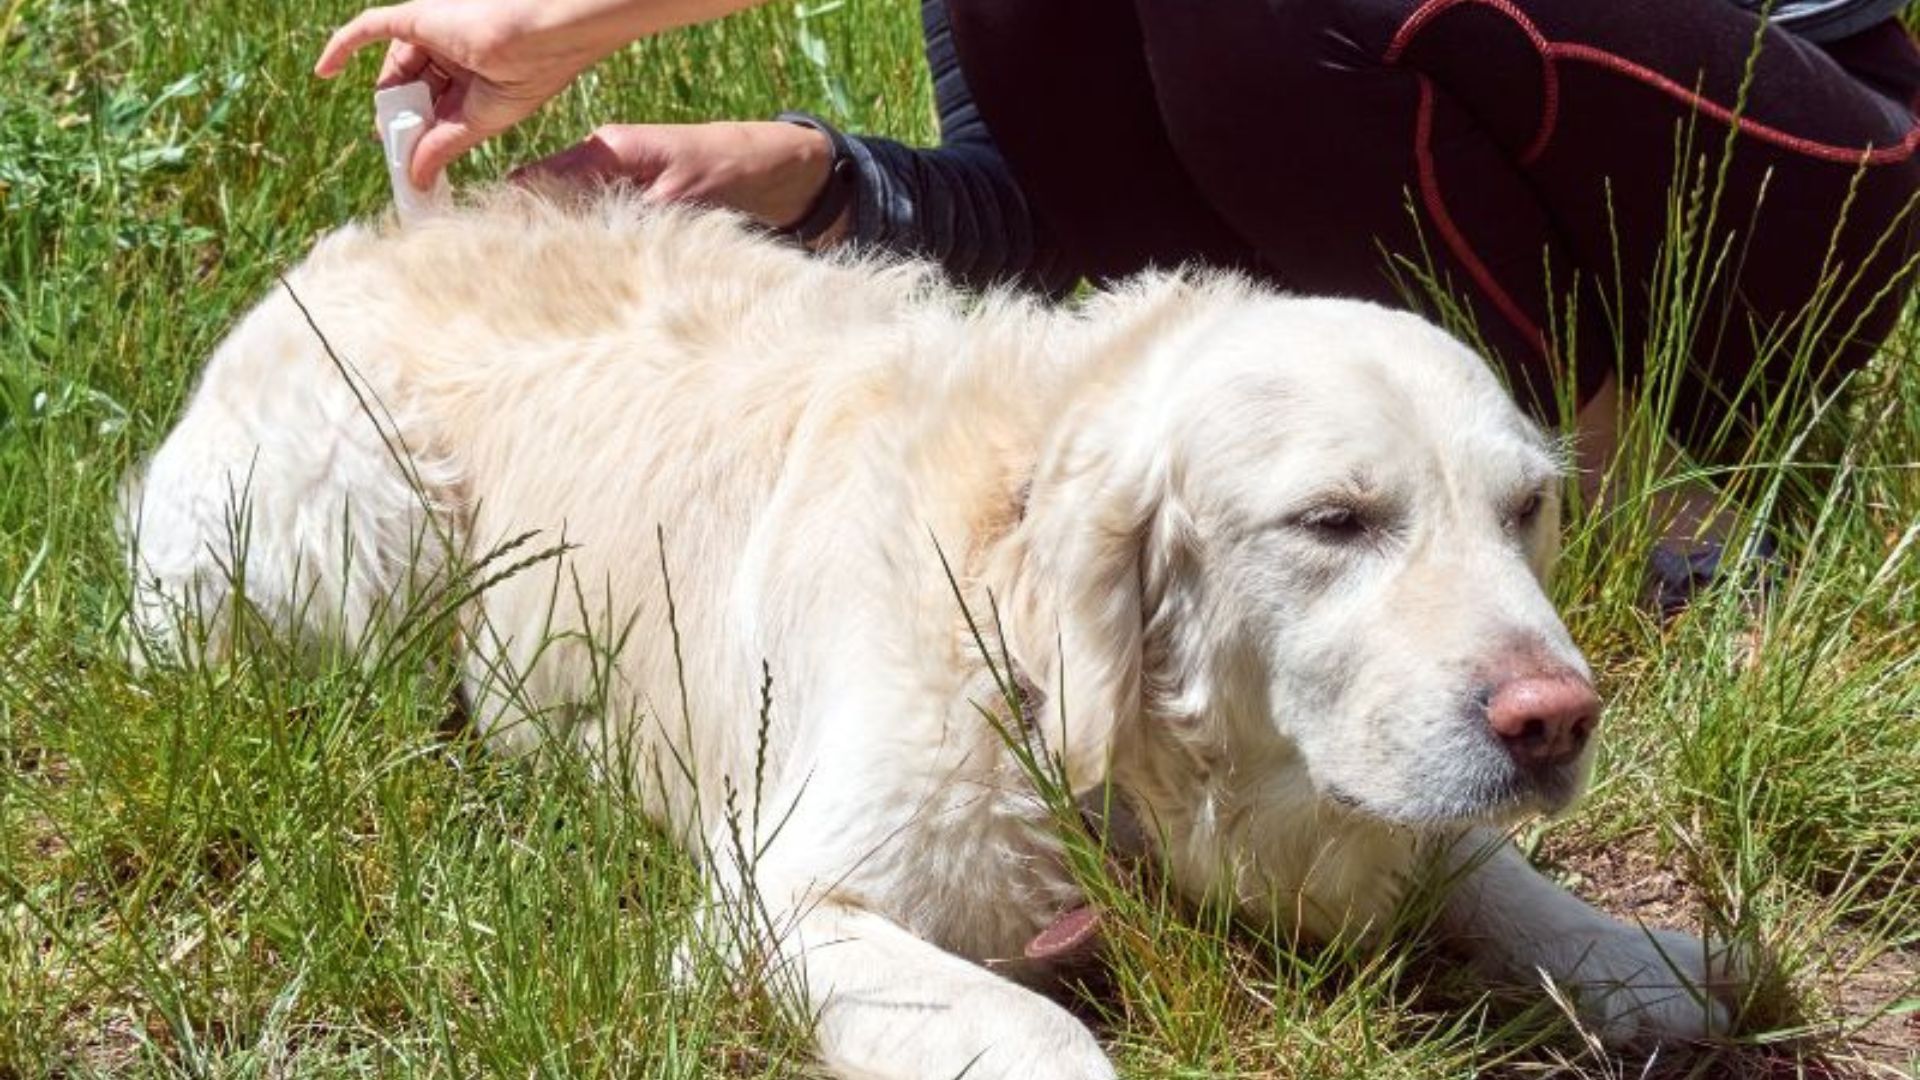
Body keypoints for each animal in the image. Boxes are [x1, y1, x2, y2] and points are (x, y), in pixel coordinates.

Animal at [120, 193, 1743, 1076]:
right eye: (1335, 520)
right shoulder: (776, 906)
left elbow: (1478, 866)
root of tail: (344, 248)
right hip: (349, 545)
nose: (1556, 719)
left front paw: (1631, 952)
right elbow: (1042, 1035)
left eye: (1527, 509)